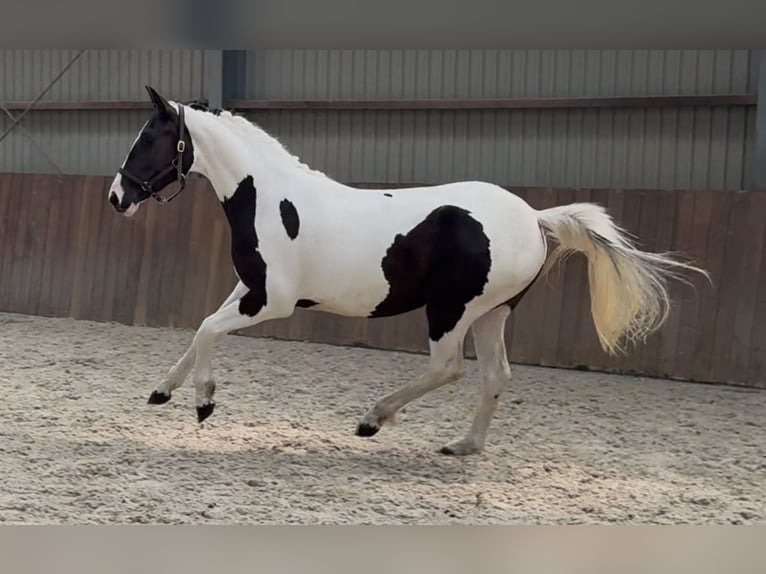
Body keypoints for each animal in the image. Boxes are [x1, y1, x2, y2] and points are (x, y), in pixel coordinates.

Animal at [107, 86, 707, 455]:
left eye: (150, 139)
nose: (116, 197)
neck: (273, 200)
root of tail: (535, 218)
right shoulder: (247, 289)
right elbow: (202, 327)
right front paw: (164, 391)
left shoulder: (271, 300)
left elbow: (209, 329)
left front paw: (204, 402)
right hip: (492, 314)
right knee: (496, 376)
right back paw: (464, 446)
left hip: (452, 311)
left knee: (449, 368)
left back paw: (373, 419)